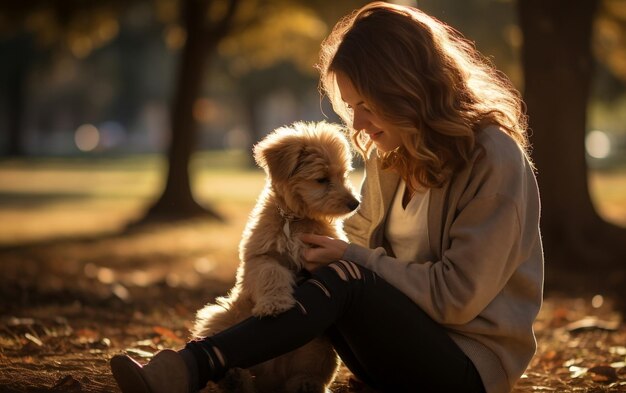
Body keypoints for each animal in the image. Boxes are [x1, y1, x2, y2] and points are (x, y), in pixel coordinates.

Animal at [190, 121, 358, 390]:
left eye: (343, 175)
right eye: (321, 179)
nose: (354, 204)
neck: (294, 218)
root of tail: (272, 379)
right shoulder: (261, 257)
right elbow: (271, 273)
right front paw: (274, 305)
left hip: (319, 350)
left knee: (309, 373)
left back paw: (304, 384)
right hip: (219, 315)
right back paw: (235, 378)